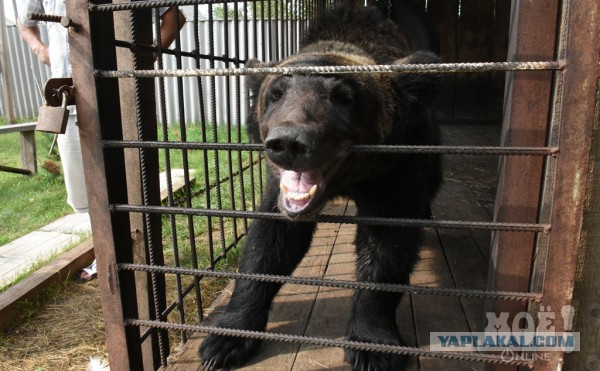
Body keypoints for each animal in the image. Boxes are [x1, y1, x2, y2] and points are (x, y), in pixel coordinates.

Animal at [200, 3, 440, 371]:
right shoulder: (280, 190)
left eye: (344, 97)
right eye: (276, 93)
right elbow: (269, 246)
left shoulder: (396, 170)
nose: (289, 142)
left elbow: (386, 249)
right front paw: (226, 339)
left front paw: (372, 345)